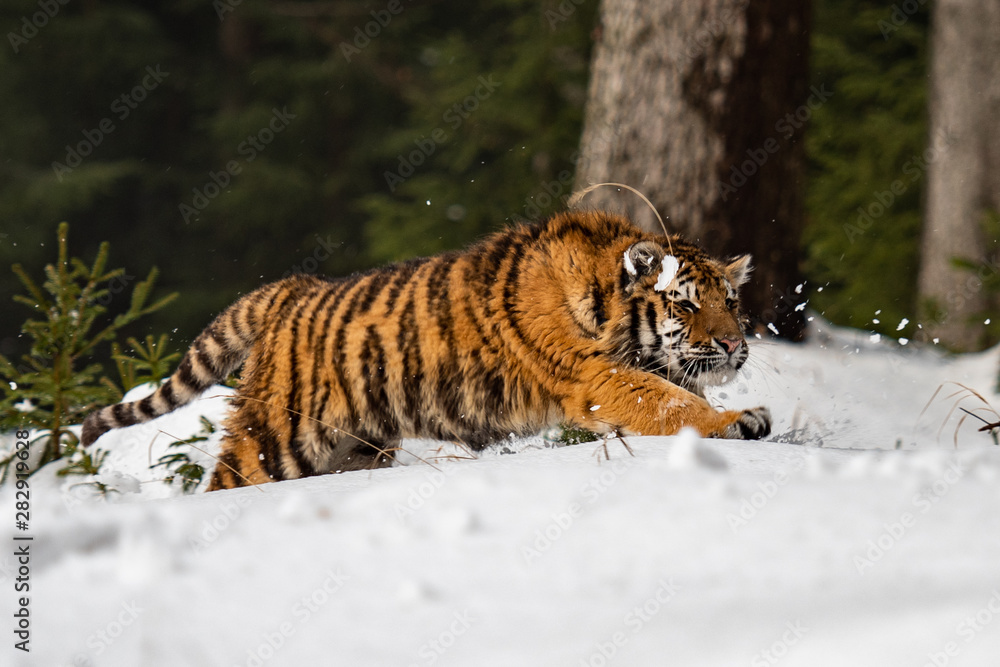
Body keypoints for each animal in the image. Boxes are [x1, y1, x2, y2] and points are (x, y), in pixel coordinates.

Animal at [81, 210, 771, 491]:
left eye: (731, 300)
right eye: (686, 304)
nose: (736, 345)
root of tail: (291, 288)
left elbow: (674, 393)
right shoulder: (598, 377)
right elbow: (671, 405)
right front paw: (738, 421)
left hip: (356, 447)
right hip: (274, 439)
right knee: (224, 483)